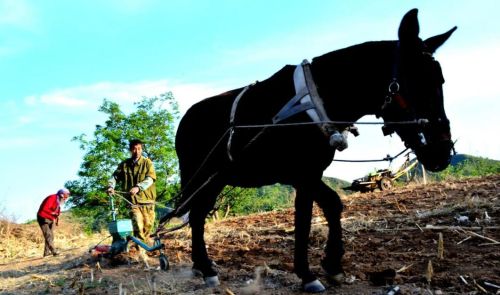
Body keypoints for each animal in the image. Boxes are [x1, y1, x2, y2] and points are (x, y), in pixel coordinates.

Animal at [165, 8, 458, 294]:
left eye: (441, 80)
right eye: (415, 80)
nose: (443, 150)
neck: (318, 98)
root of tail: (186, 118)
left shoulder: (310, 173)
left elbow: (332, 204)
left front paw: (333, 264)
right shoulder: (302, 176)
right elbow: (304, 220)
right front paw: (307, 275)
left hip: (216, 180)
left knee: (198, 215)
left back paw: (201, 267)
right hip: (202, 179)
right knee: (197, 215)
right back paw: (206, 269)